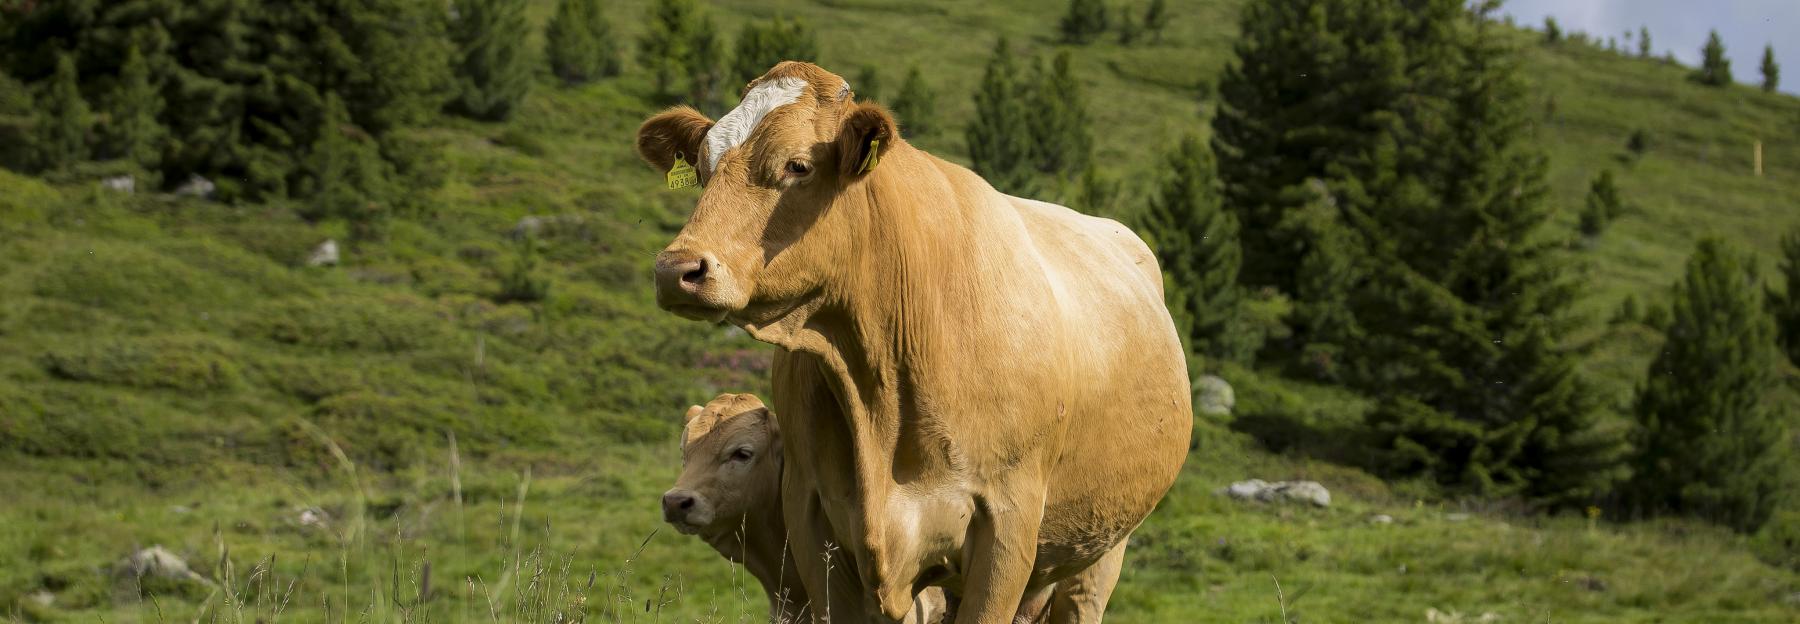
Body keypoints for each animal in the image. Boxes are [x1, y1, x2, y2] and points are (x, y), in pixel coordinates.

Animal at [640, 61, 1188, 622]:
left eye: (797, 165)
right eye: (702, 168)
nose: (676, 269)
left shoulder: (1007, 526)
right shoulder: (811, 523)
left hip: (1101, 549)